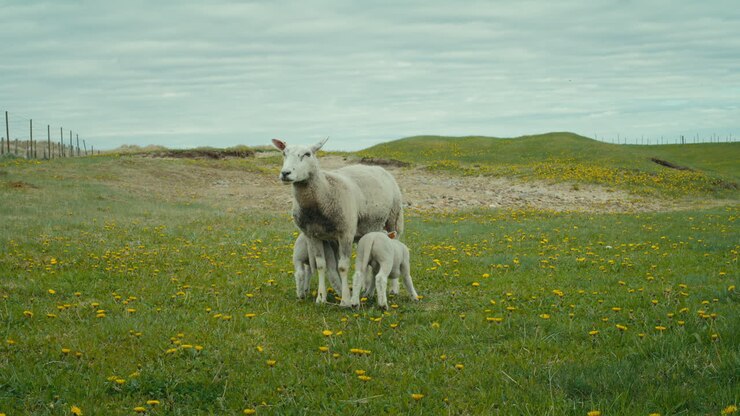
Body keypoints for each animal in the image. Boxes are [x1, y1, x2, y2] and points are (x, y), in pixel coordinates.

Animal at [272, 137, 404, 306]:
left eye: (307, 154)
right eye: (284, 153)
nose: (285, 173)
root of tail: (378, 168)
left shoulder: (345, 233)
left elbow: (342, 267)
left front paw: (345, 300)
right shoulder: (313, 236)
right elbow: (321, 265)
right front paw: (321, 298)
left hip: (394, 219)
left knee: (395, 247)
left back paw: (393, 288)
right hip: (365, 229)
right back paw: (365, 287)